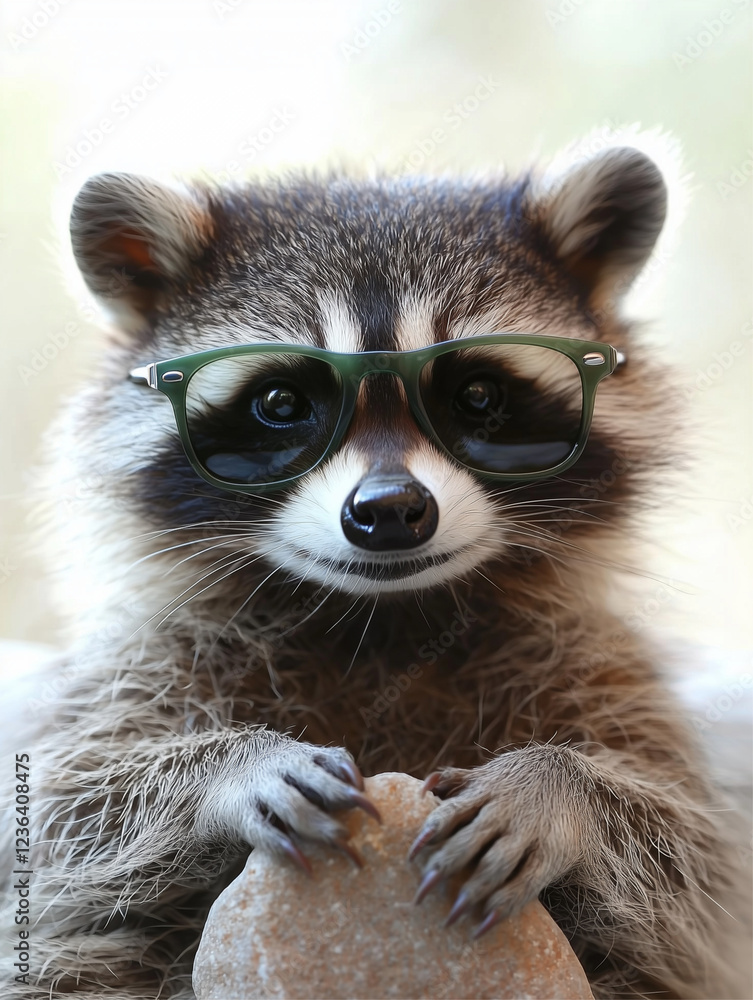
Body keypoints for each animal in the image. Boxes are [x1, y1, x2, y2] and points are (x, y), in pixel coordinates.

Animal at [2, 132, 749, 1000]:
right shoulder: (147, 662)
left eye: (478, 396)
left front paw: (560, 790)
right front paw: (230, 766)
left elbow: (699, 859)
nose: (390, 509)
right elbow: (66, 810)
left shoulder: (598, 665)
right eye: (281, 404)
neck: (381, 619)